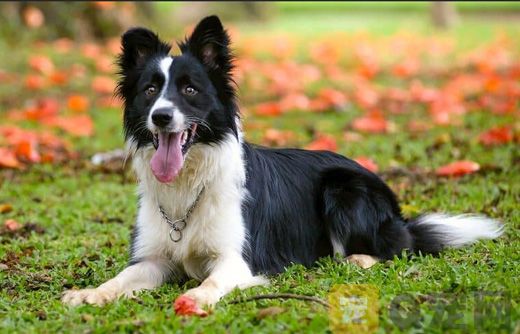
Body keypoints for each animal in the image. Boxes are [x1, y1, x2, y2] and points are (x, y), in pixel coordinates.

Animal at [62, 15, 504, 308]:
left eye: (189, 89)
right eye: (151, 90)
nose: (161, 117)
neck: (190, 182)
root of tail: (396, 210)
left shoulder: (238, 260)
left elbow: (211, 283)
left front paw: (195, 298)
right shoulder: (153, 258)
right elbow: (121, 278)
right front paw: (89, 293)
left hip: (343, 189)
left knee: (397, 248)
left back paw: (358, 258)